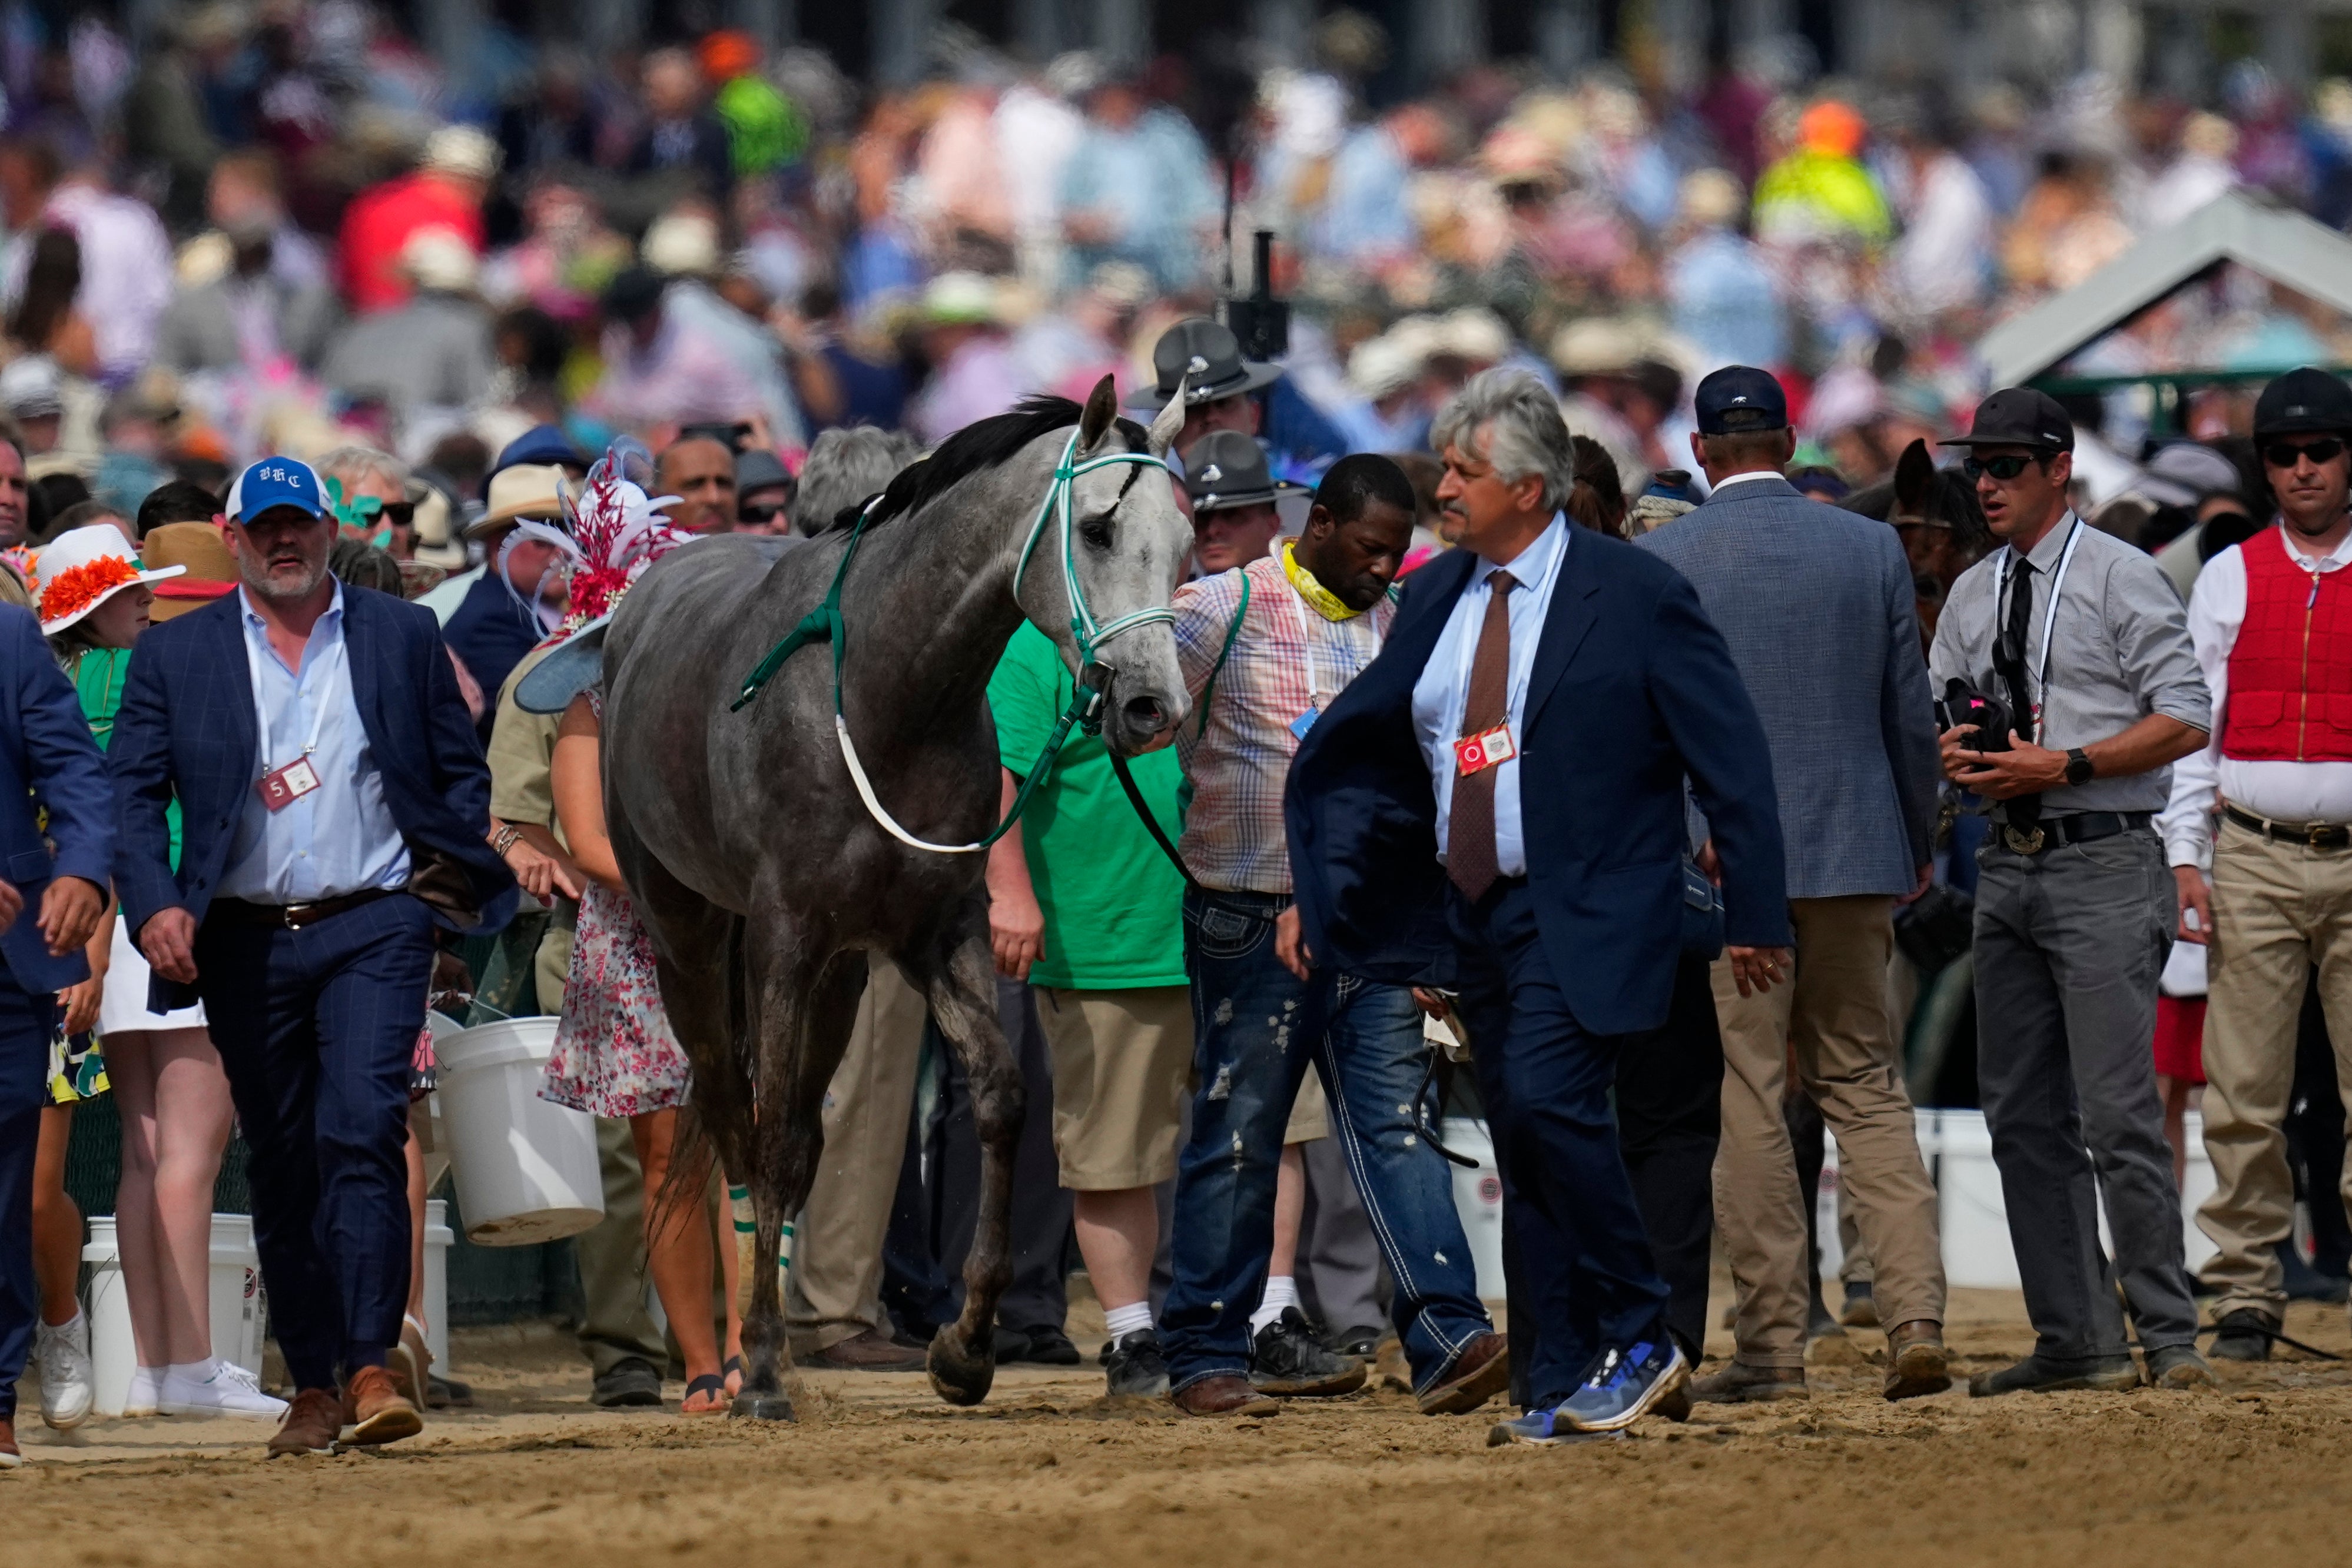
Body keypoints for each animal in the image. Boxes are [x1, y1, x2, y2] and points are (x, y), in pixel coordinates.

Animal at [597, 377, 1191, 1418]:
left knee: (797, 1127)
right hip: (686, 934)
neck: (887, 695)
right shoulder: (784, 938)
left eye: (1185, 539)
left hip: (841, 976)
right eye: (1099, 528)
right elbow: (772, 1143)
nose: (1152, 707)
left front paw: (965, 1346)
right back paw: (741, 1359)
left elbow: (998, 1096)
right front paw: (762, 1368)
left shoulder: (934, 931)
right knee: (735, 1115)